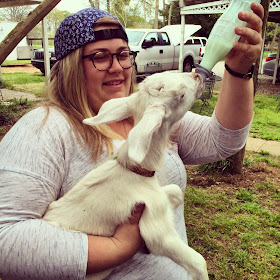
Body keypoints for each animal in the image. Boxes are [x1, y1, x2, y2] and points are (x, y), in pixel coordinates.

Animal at [43, 71, 208, 280]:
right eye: (181, 95)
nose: (197, 75)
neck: (135, 171)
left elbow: (176, 191)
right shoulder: (155, 229)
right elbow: (198, 262)